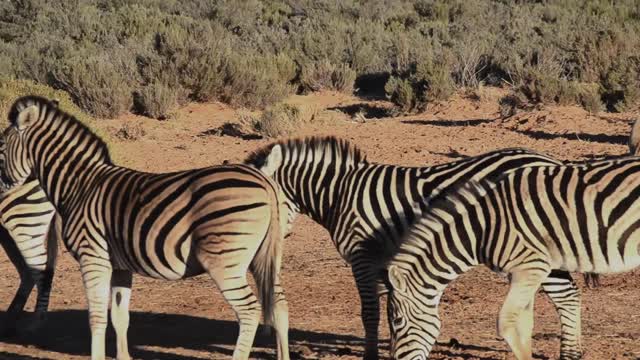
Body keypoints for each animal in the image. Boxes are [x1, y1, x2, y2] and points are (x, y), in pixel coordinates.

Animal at [246, 136, 584, 360]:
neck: (339, 194)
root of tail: (550, 160)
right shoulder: (389, 264)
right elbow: (393, 311)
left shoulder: (362, 257)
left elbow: (370, 312)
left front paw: (372, 357)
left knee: (567, 298)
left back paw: (570, 355)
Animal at [384, 158, 640, 360]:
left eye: (397, 322)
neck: (483, 228)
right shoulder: (520, 273)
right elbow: (524, 325)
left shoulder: (531, 268)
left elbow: (505, 323)